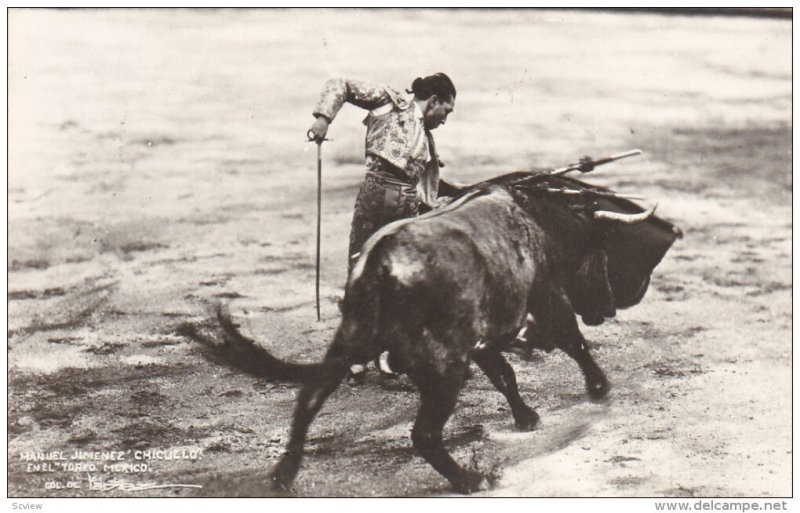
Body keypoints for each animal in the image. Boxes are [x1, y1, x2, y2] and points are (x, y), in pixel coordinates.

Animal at [191, 171, 680, 492]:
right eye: (599, 247)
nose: (608, 309)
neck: (538, 219)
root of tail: (380, 264)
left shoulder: (480, 338)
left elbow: (505, 374)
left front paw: (527, 417)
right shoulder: (547, 298)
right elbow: (571, 342)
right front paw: (599, 388)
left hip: (352, 339)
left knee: (311, 395)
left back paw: (284, 475)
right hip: (443, 365)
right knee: (425, 433)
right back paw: (472, 478)